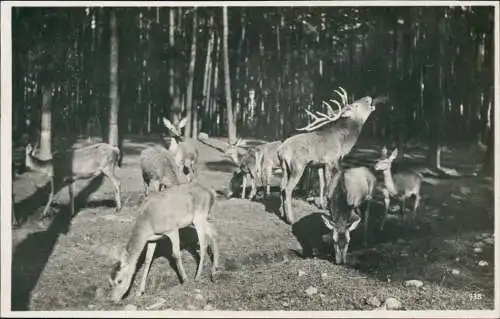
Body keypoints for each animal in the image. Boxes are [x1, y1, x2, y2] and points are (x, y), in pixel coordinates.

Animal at [278, 86, 378, 224]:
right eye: (356, 105)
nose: (368, 97)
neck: (342, 143)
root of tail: (281, 151)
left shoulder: (319, 163)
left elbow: (321, 183)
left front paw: (322, 204)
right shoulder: (331, 160)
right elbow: (330, 182)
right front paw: (328, 206)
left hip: (284, 168)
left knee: (281, 186)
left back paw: (282, 213)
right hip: (297, 166)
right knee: (287, 189)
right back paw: (291, 219)